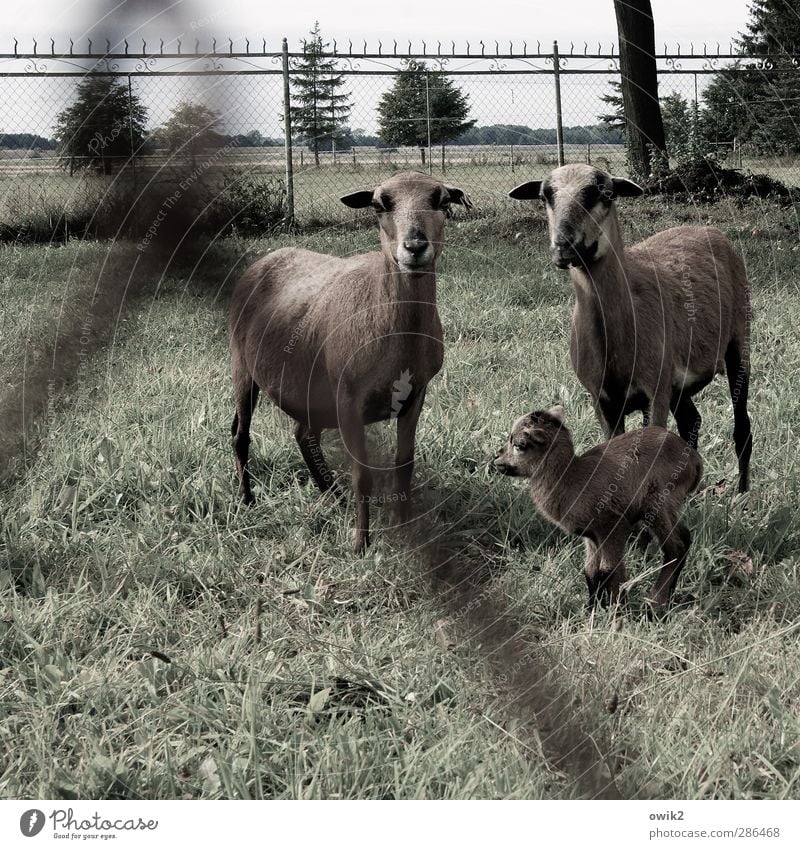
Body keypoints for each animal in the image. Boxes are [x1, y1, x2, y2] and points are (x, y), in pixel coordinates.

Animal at [228, 171, 472, 548]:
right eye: (379, 204)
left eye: (442, 201)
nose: (415, 248)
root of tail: (267, 257)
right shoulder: (349, 399)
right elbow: (362, 475)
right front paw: (361, 544)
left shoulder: (416, 394)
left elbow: (404, 465)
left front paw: (406, 526)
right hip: (243, 366)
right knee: (241, 436)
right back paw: (247, 500)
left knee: (303, 434)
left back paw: (334, 497)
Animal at [490, 406, 704, 608]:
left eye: (519, 445)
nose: (496, 460)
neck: (570, 478)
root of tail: (695, 460)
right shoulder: (592, 536)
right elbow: (591, 572)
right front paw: (592, 608)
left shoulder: (614, 525)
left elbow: (610, 571)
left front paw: (617, 611)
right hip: (669, 506)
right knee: (685, 537)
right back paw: (667, 598)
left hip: (658, 502)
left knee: (675, 547)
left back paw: (654, 604)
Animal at [510, 163, 752, 494]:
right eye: (544, 195)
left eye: (605, 193)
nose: (564, 246)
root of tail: (707, 229)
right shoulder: (603, 401)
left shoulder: (654, 392)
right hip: (676, 382)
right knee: (691, 422)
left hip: (738, 341)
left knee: (742, 426)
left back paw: (742, 492)